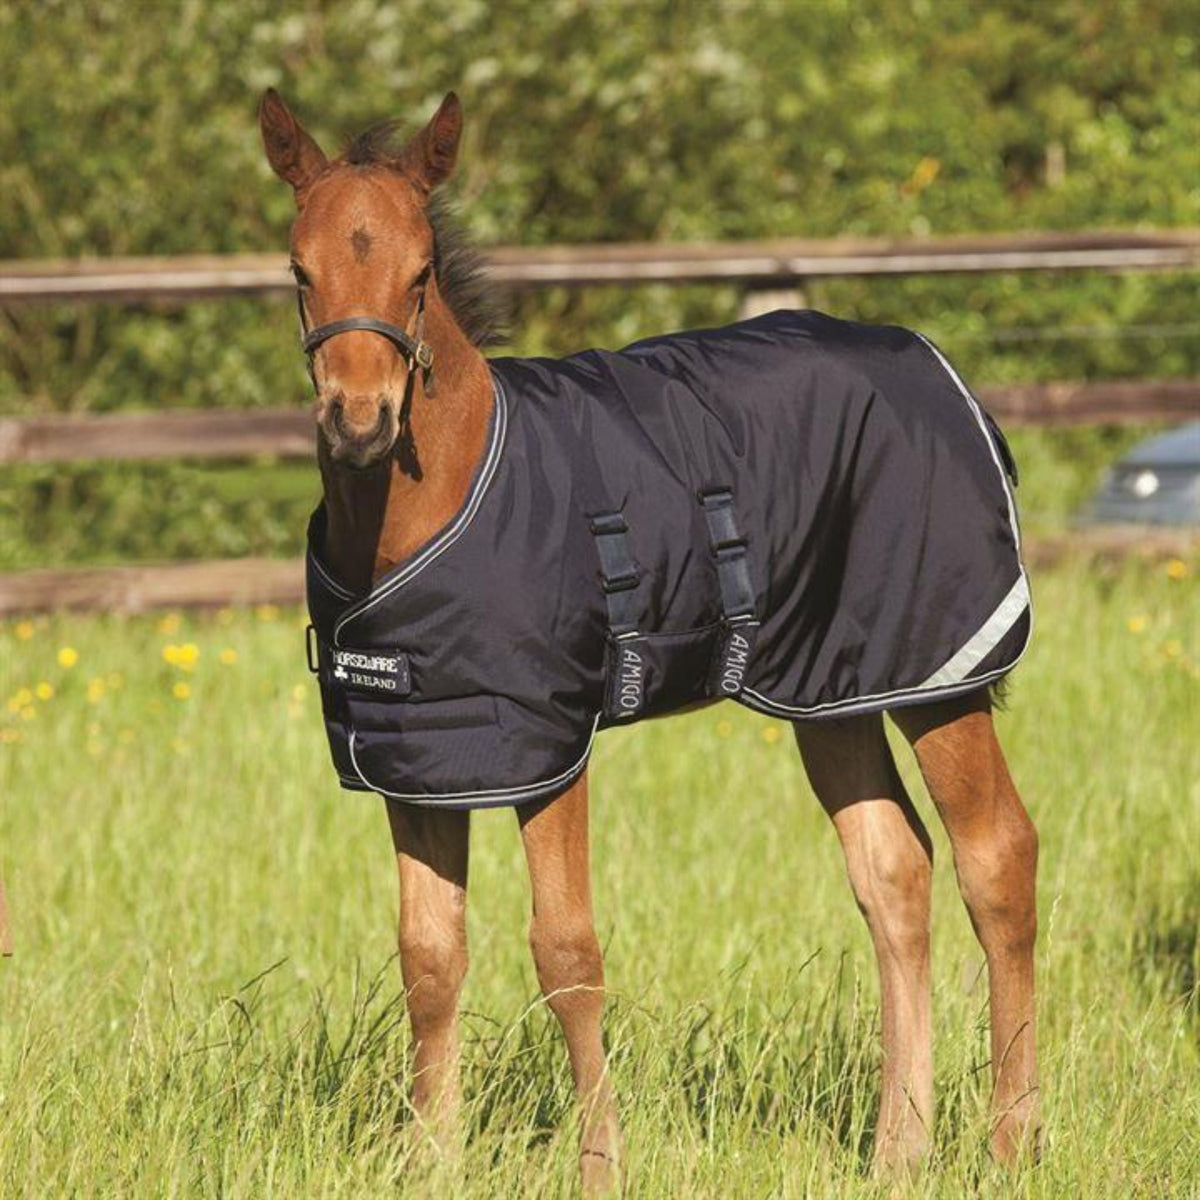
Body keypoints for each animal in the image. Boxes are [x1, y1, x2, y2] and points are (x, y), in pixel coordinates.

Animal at [259, 88, 1040, 1193]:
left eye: (419, 272)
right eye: (299, 269)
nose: (360, 422)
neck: (445, 492)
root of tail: (941, 369)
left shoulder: (545, 742)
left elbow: (566, 953)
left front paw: (599, 1164)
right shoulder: (420, 756)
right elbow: (429, 955)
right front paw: (428, 1161)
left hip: (936, 673)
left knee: (996, 857)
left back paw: (1011, 1143)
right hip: (831, 687)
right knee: (895, 869)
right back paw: (900, 1149)